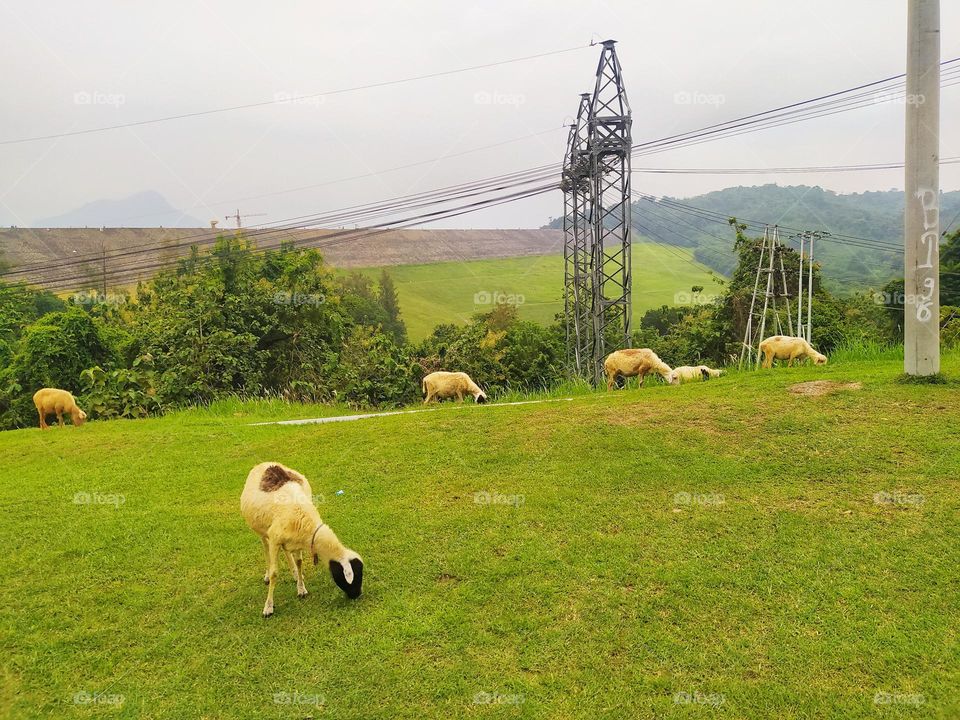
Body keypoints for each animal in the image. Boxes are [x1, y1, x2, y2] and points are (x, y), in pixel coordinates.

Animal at [240, 462, 363, 617]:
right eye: (347, 577)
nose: (357, 595)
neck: (303, 516)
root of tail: (265, 464)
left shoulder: (296, 540)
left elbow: (299, 562)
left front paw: (301, 588)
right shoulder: (274, 539)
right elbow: (275, 573)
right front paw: (268, 607)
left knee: (286, 552)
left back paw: (293, 573)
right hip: (261, 532)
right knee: (265, 548)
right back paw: (267, 576)